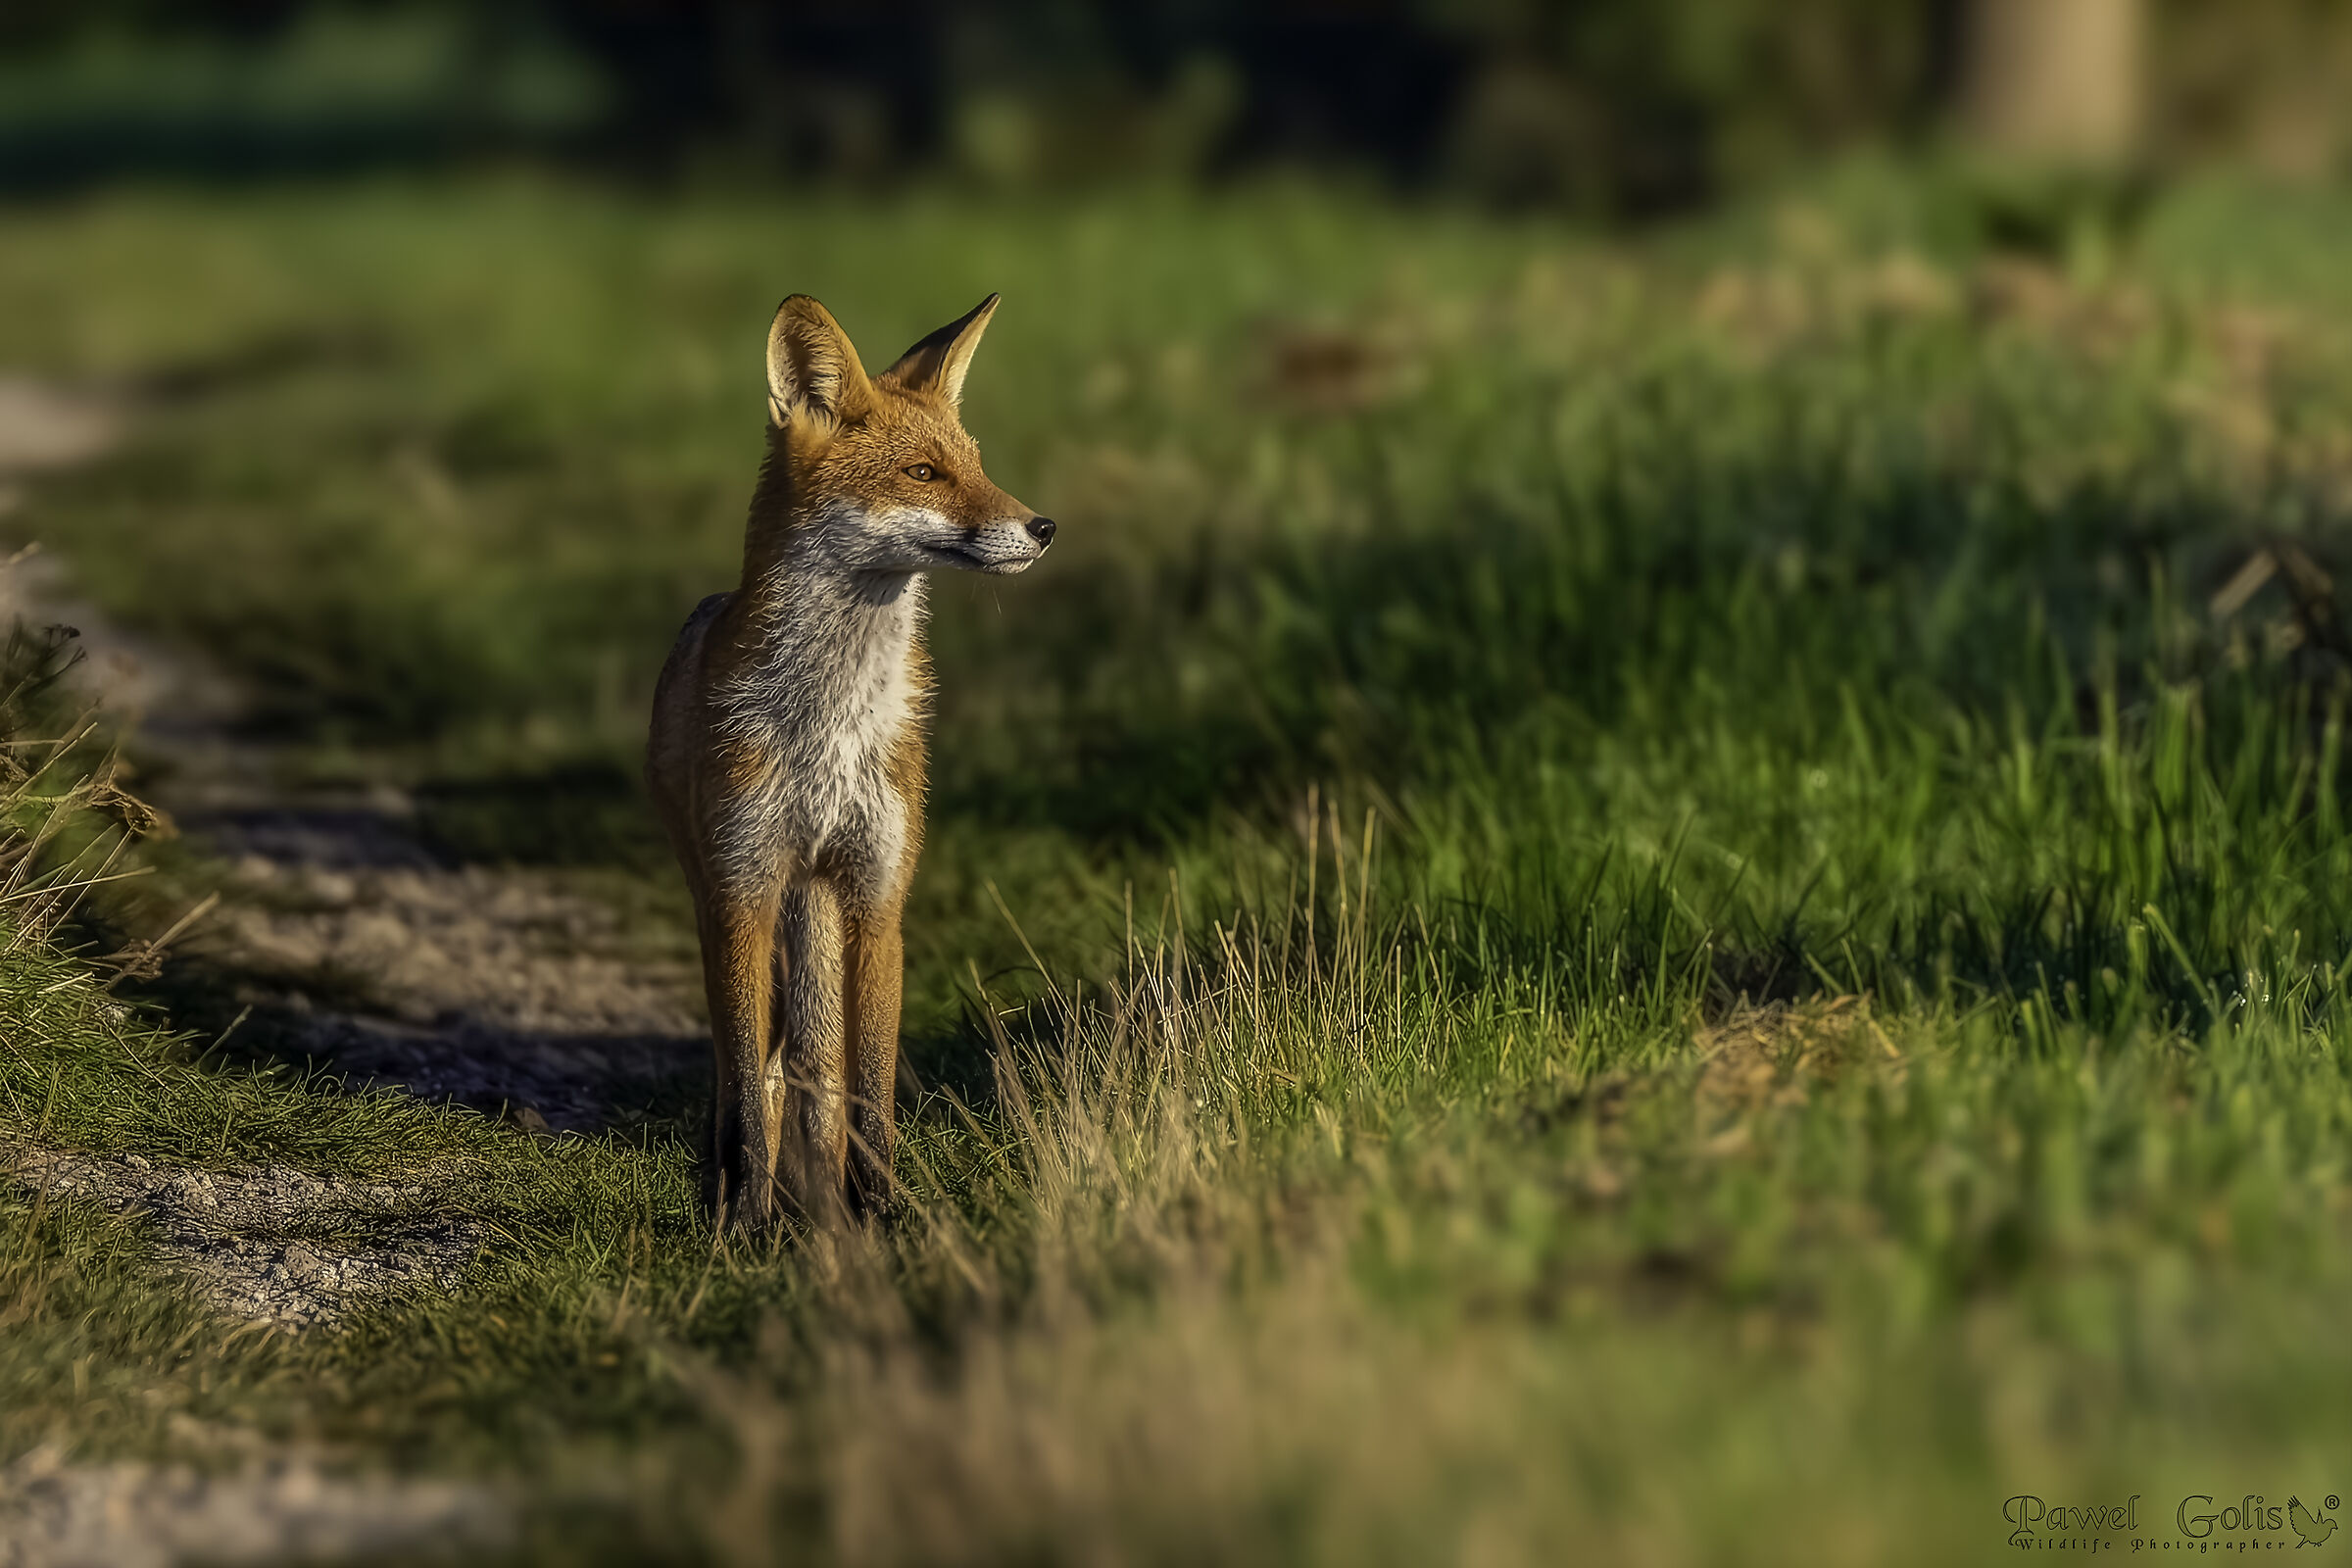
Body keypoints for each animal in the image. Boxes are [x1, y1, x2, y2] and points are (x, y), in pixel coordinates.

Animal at [647, 292, 1053, 1229]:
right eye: (922, 474)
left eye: (977, 465)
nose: (1043, 527)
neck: (826, 726)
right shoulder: (744, 889)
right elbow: (748, 1094)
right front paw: (748, 1224)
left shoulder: (877, 895)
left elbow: (866, 1085)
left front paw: (886, 1214)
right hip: (719, 892)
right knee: (739, 1070)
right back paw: (737, 1195)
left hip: (821, 903)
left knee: (816, 1067)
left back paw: (827, 1198)